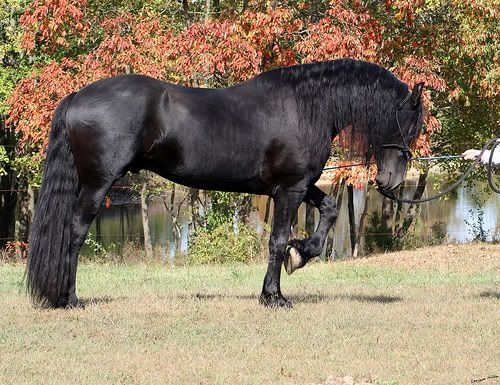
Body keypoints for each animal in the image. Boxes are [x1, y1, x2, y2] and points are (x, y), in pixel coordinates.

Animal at [26, 58, 422, 308]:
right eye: (407, 123)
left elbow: (329, 209)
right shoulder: (290, 188)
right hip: (97, 184)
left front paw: (301, 254)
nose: (390, 180)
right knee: (75, 233)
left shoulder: (295, 185)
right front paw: (274, 296)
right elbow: (277, 240)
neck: (304, 107)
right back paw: (69, 298)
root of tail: (78, 96)